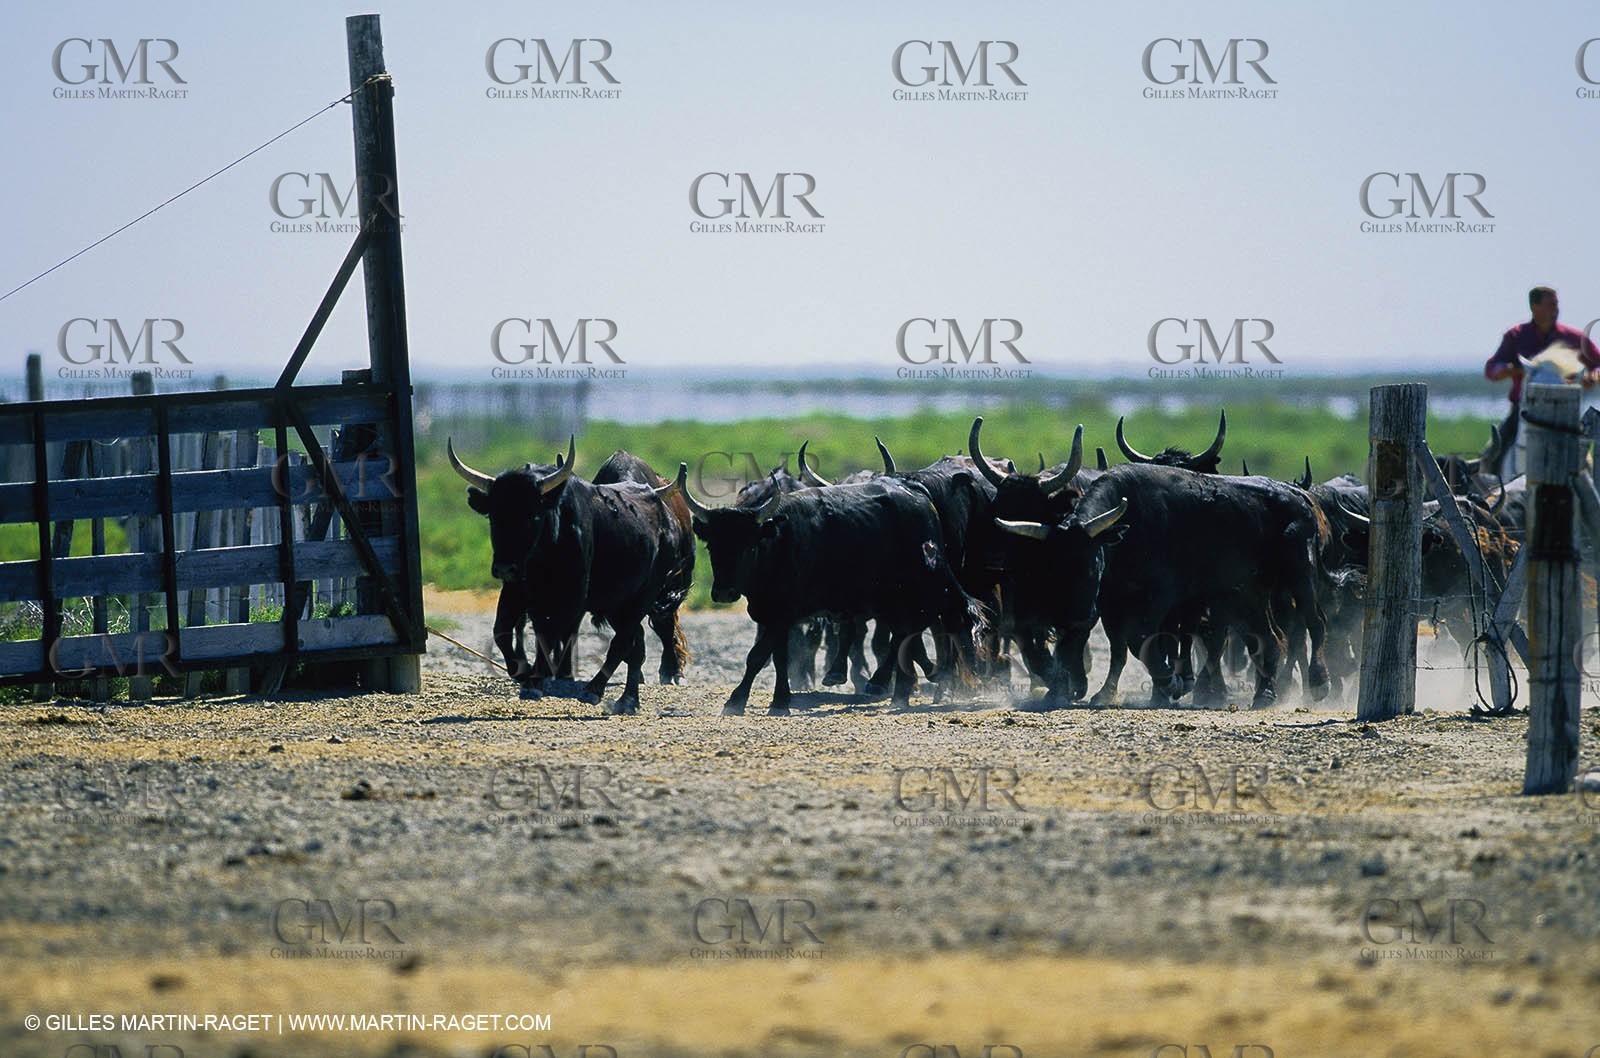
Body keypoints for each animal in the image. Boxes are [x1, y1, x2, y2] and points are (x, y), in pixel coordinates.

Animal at [448, 437, 694, 715]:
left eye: (533, 514)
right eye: (494, 515)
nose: (504, 567)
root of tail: (667, 518)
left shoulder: (571, 597)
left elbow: (551, 634)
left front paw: (538, 678)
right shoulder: (516, 591)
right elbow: (502, 631)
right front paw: (525, 673)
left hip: (645, 595)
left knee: (627, 641)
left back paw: (598, 690)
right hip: (618, 603)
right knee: (635, 644)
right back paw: (628, 699)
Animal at [680, 463, 986, 714]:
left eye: (748, 545)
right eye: (713, 545)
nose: (724, 593)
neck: (778, 541)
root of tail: (917, 495)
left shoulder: (783, 613)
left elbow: (757, 656)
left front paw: (736, 700)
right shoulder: (772, 615)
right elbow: (779, 657)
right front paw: (780, 700)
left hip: (925, 584)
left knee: (939, 621)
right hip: (894, 595)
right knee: (907, 630)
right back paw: (899, 691)